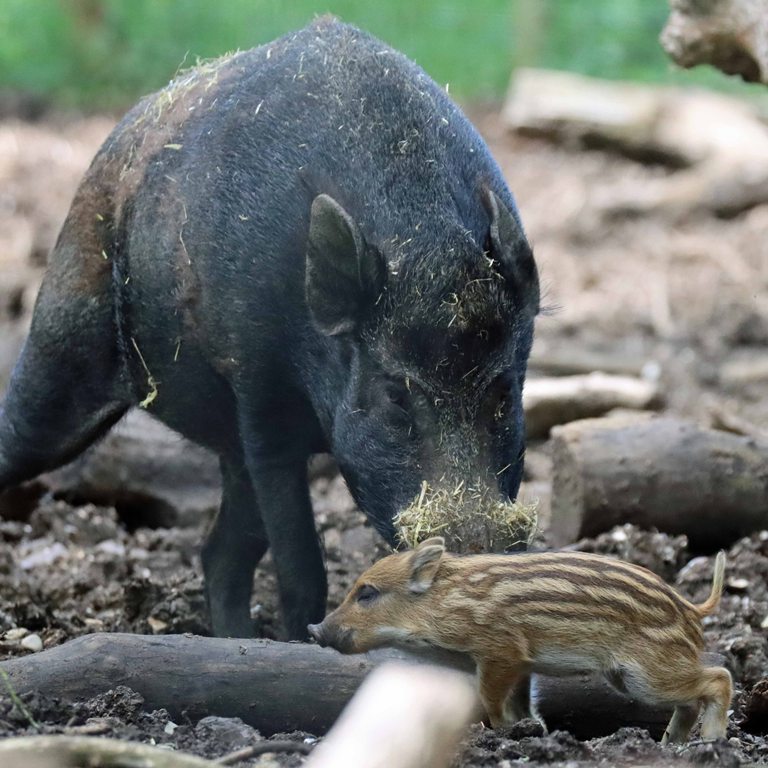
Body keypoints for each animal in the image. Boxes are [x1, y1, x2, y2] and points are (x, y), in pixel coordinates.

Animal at [0, 18, 540, 639]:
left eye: (503, 394)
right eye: (395, 397)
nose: (475, 546)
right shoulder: (258, 398)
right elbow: (301, 562)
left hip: (224, 448)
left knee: (220, 552)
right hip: (60, 342)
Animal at [309, 538, 732, 743]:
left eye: (367, 593)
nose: (314, 629)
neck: (448, 603)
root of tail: (693, 609)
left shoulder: (500, 651)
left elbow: (490, 697)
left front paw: (502, 732)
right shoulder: (524, 663)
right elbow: (522, 701)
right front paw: (531, 730)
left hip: (648, 672)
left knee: (719, 678)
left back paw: (712, 740)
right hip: (628, 677)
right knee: (690, 701)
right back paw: (669, 745)